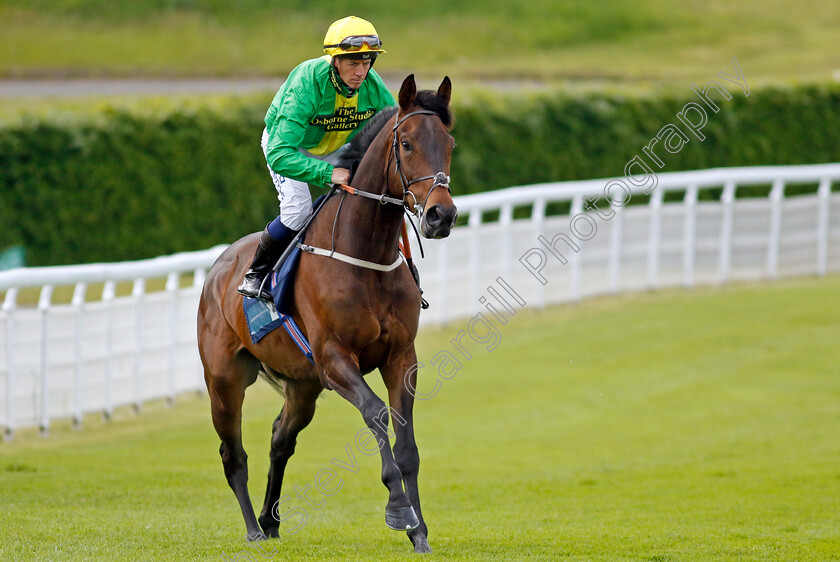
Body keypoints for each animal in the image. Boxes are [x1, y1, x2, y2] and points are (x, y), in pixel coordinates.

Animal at [197, 74, 456, 552]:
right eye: (407, 143)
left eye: (449, 142)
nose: (440, 215)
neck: (365, 253)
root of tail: (219, 267)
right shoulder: (336, 359)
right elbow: (375, 413)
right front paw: (399, 510)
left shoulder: (400, 357)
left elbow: (405, 441)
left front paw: (420, 532)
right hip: (224, 380)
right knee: (232, 453)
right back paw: (253, 530)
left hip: (303, 386)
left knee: (280, 439)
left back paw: (270, 520)